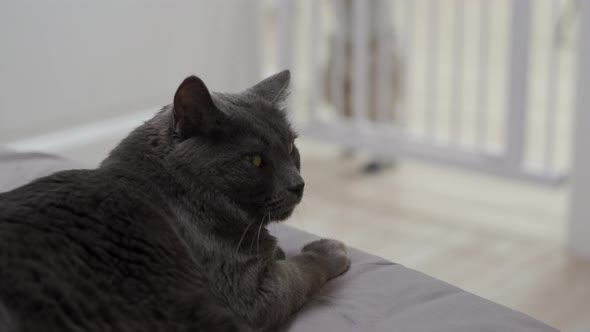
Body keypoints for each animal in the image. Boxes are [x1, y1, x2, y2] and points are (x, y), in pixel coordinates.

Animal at [0, 70, 352, 332]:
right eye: (255, 160)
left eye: (291, 147)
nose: (298, 184)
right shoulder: (249, 295)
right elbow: (301, 271)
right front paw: (328, 249)